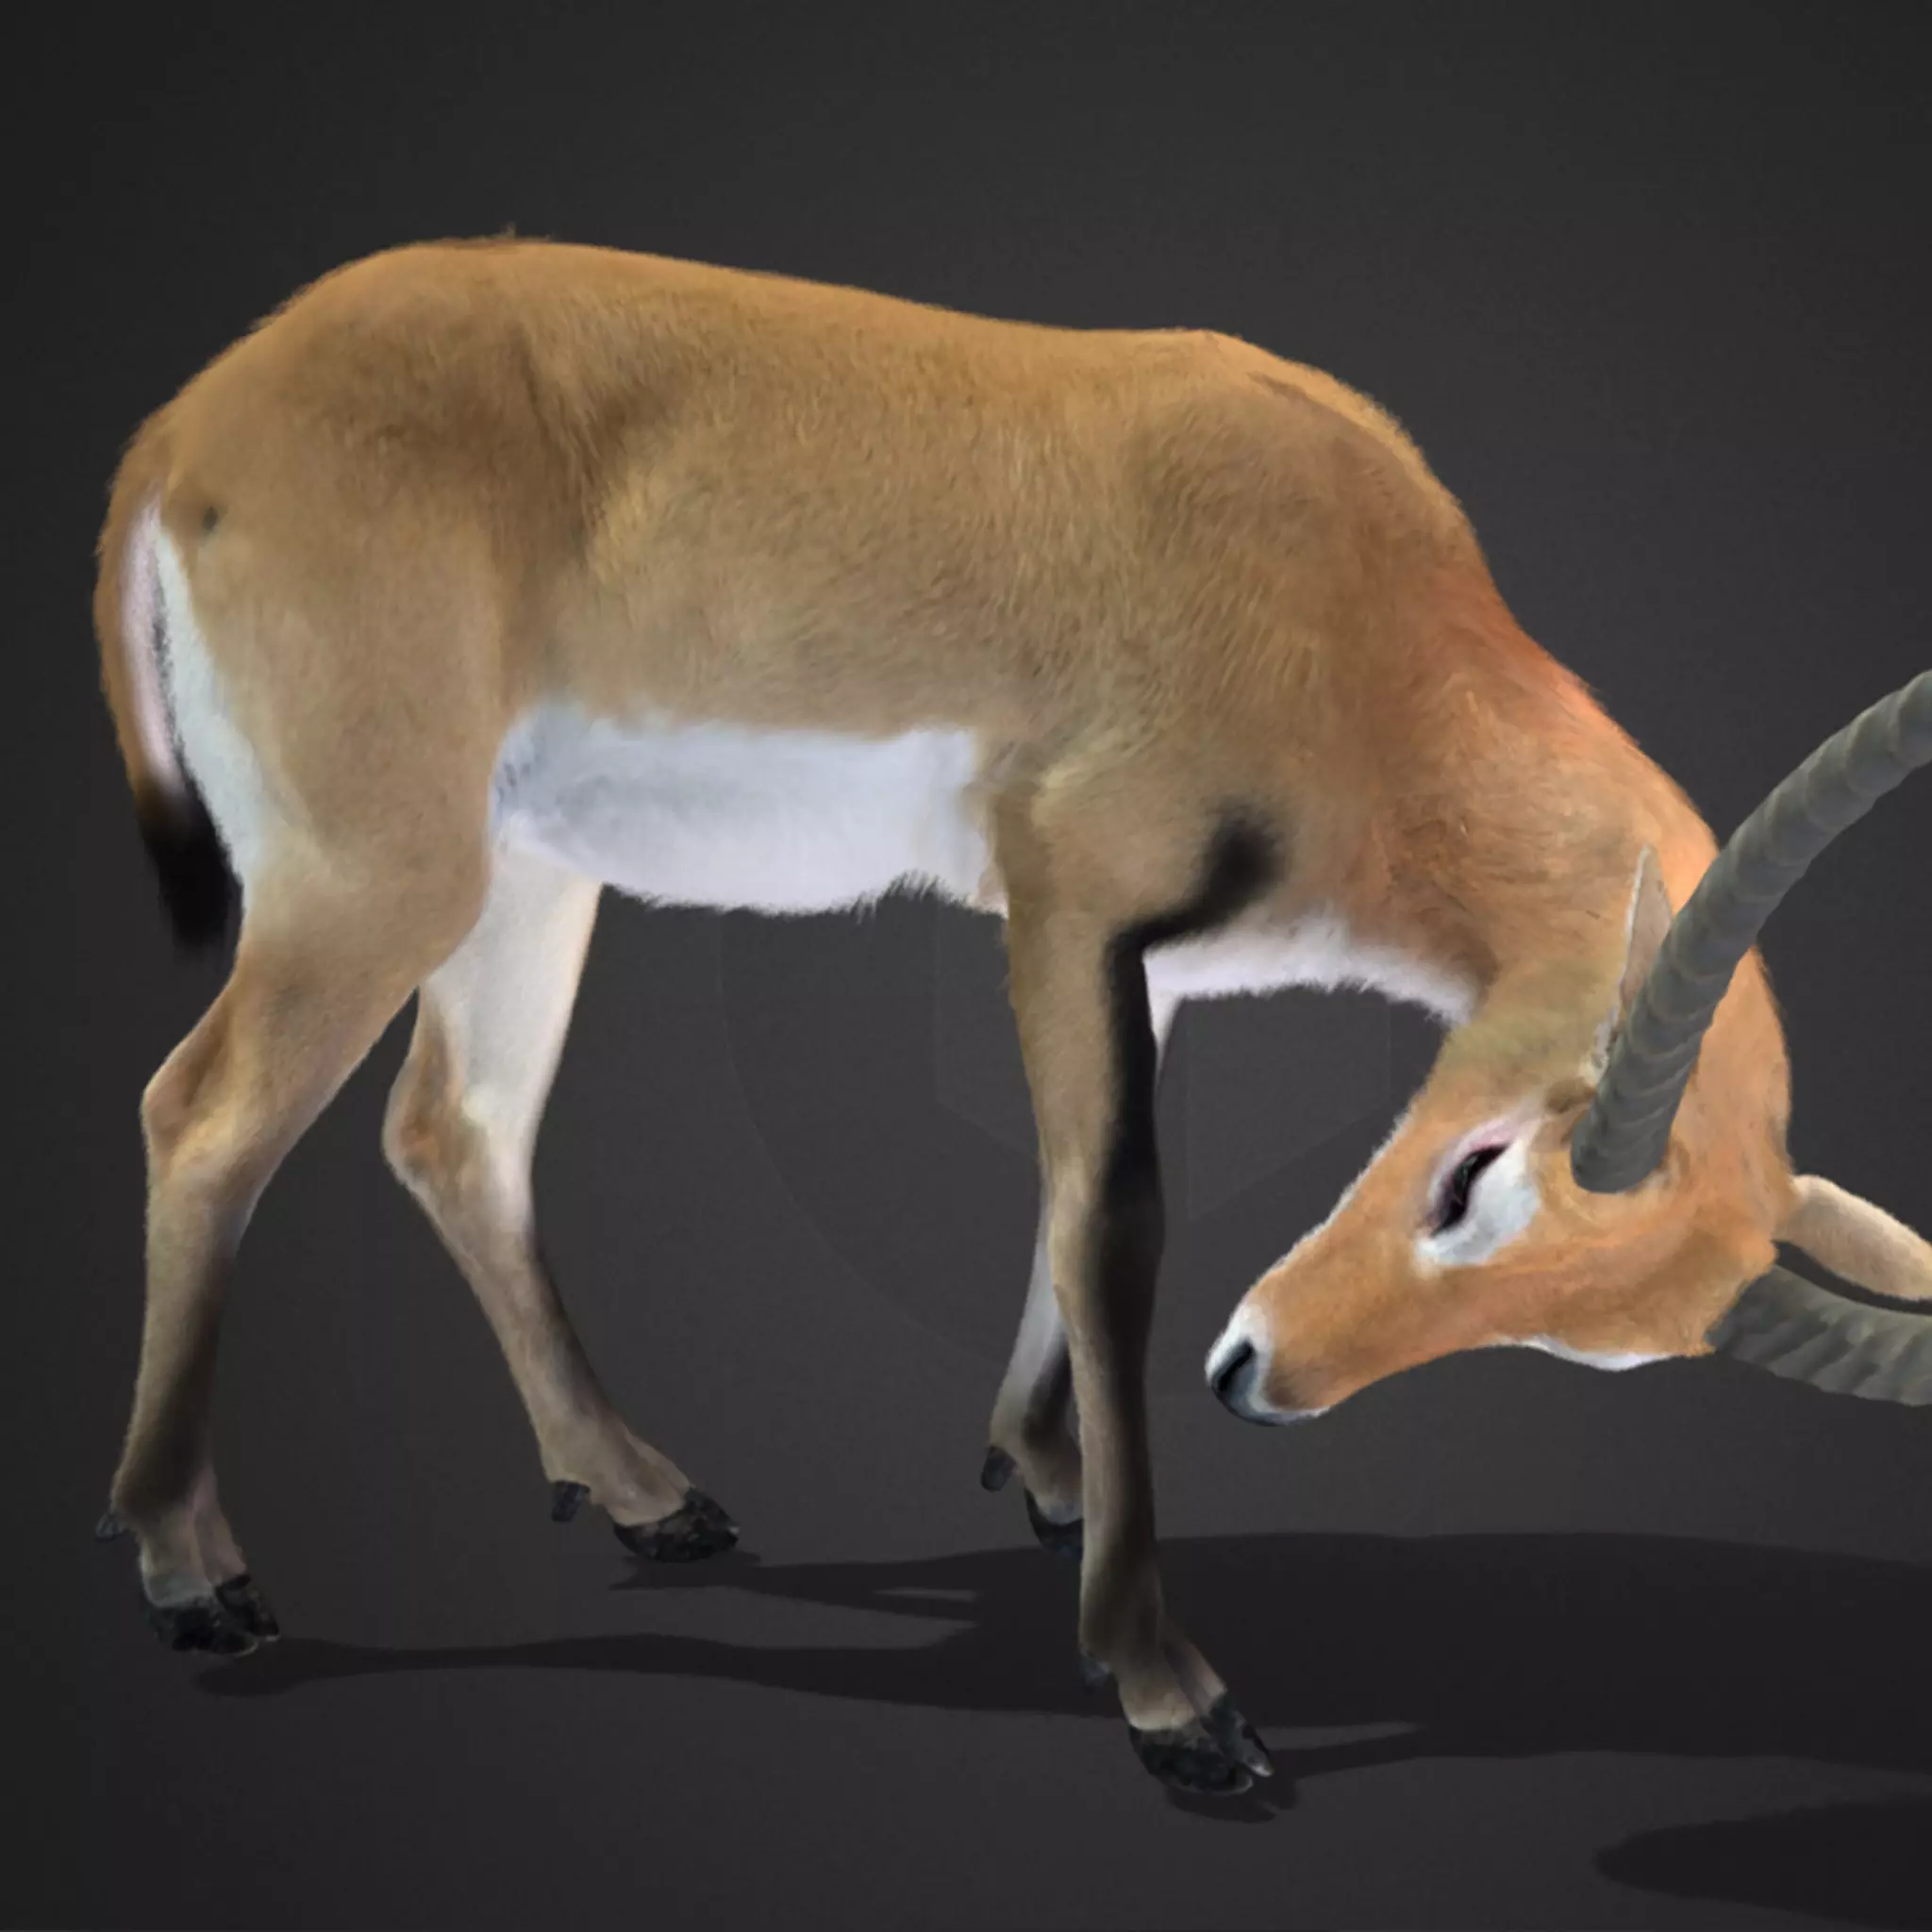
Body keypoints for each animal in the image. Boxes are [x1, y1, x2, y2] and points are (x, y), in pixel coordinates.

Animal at [93, 238, 1932, 1799]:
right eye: (1472, 1171)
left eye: (1600, 1341)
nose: (1262, 1378)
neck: (1353, 602)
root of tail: (195, 420)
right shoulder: (1070, 903)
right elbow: (1113, 1227)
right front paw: (1169, 1692)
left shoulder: (1158, 968)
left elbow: (1060, 1207)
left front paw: (1041, 1477)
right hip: (379, 879)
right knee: (204, 1110)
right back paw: (194, 1578)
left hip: (528, 875)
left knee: (453, 1131)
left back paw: (646, 1497)